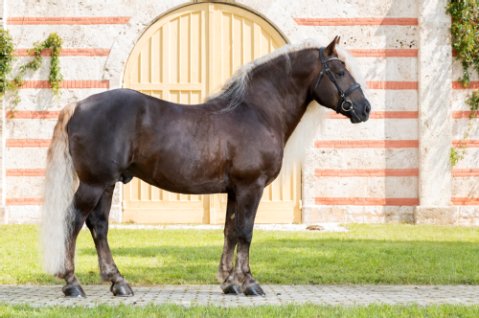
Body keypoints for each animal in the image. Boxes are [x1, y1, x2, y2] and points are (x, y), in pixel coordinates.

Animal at [41, 36, 372, 296]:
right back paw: (72, 283)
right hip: (93, 183)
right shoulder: (251, 187)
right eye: (339, 71)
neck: (256, 112)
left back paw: (118, 282)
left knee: (99, 226)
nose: (364, 109)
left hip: (107, 184)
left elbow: (230, 231)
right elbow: (246, 232)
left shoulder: (235, 190)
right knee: (74, 222)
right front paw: (250, 283)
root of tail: (78, 106)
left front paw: (229, 282)